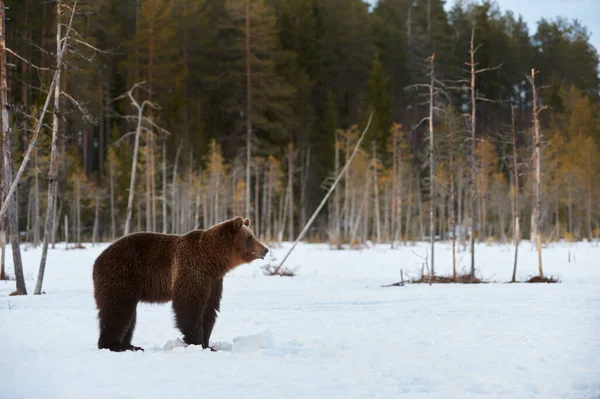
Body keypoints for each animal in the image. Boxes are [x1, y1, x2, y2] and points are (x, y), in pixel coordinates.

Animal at [91, 217, 268, 352]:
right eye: (250, 238)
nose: (265, 249)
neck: (213, 260)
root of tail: (98, 259)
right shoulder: (192, 269)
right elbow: (189, 306)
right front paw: (197, 342)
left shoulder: (213, 281)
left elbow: (210, 309)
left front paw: (208, 343)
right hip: (121, 274)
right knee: (118, 309)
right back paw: (115, 345)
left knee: (128, 315)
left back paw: (129, 344)